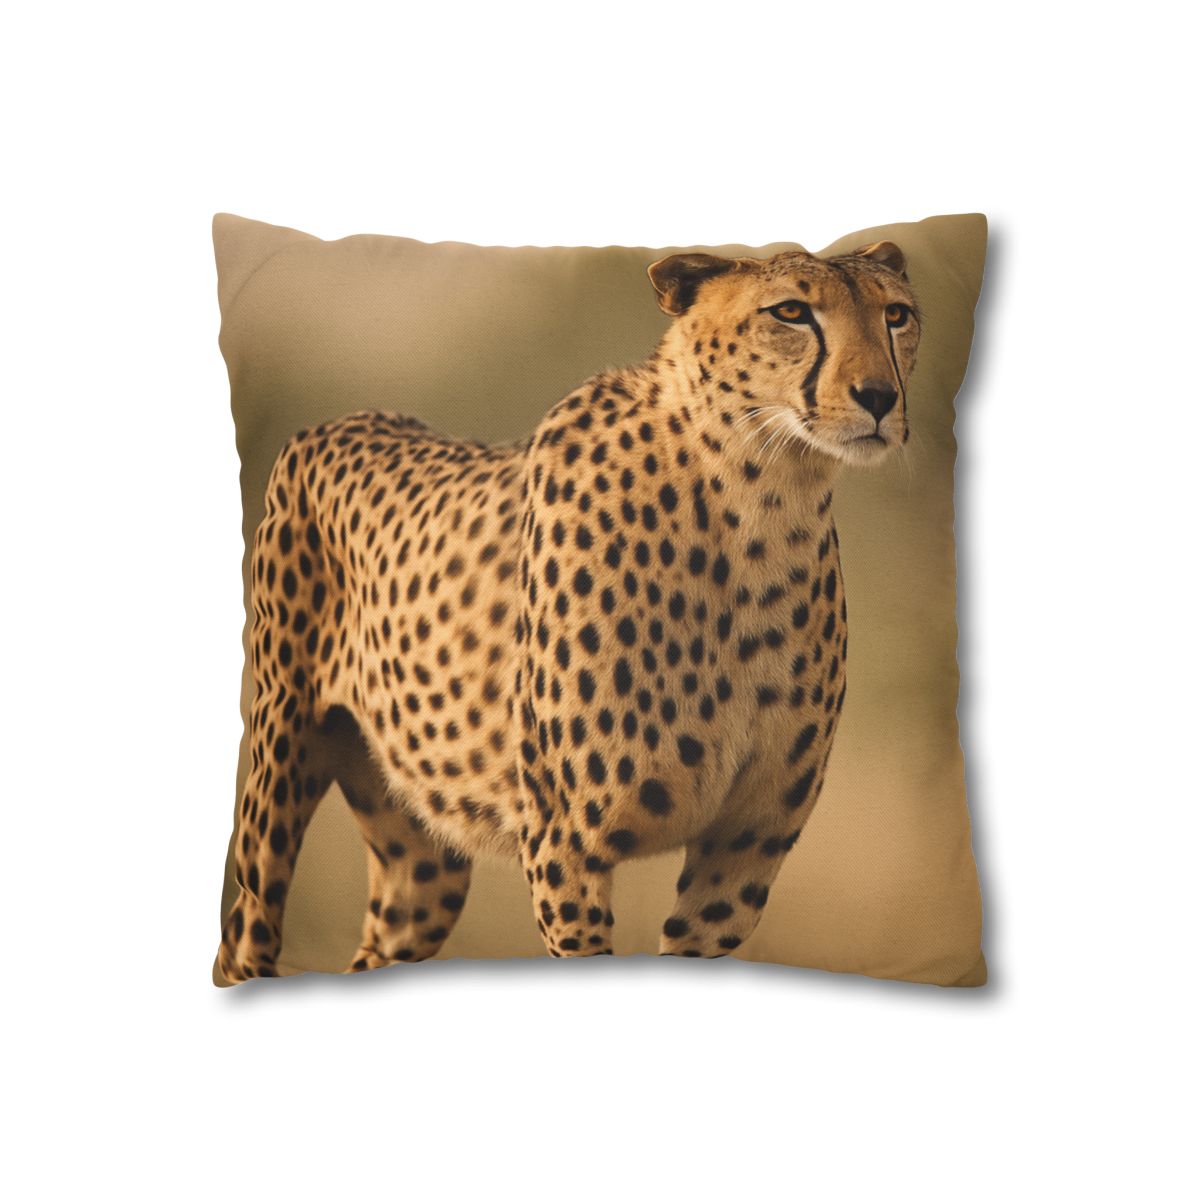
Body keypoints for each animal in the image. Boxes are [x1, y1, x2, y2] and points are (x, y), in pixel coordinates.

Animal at [217, 239, 920, 980]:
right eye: (790, 312)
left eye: (896, 314)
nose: (879, 398)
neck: (759, 503)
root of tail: (341, 420)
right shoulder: (566, 843)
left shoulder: (744, 848)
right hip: (278, 769)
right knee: (247, 934)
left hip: (423, 862)